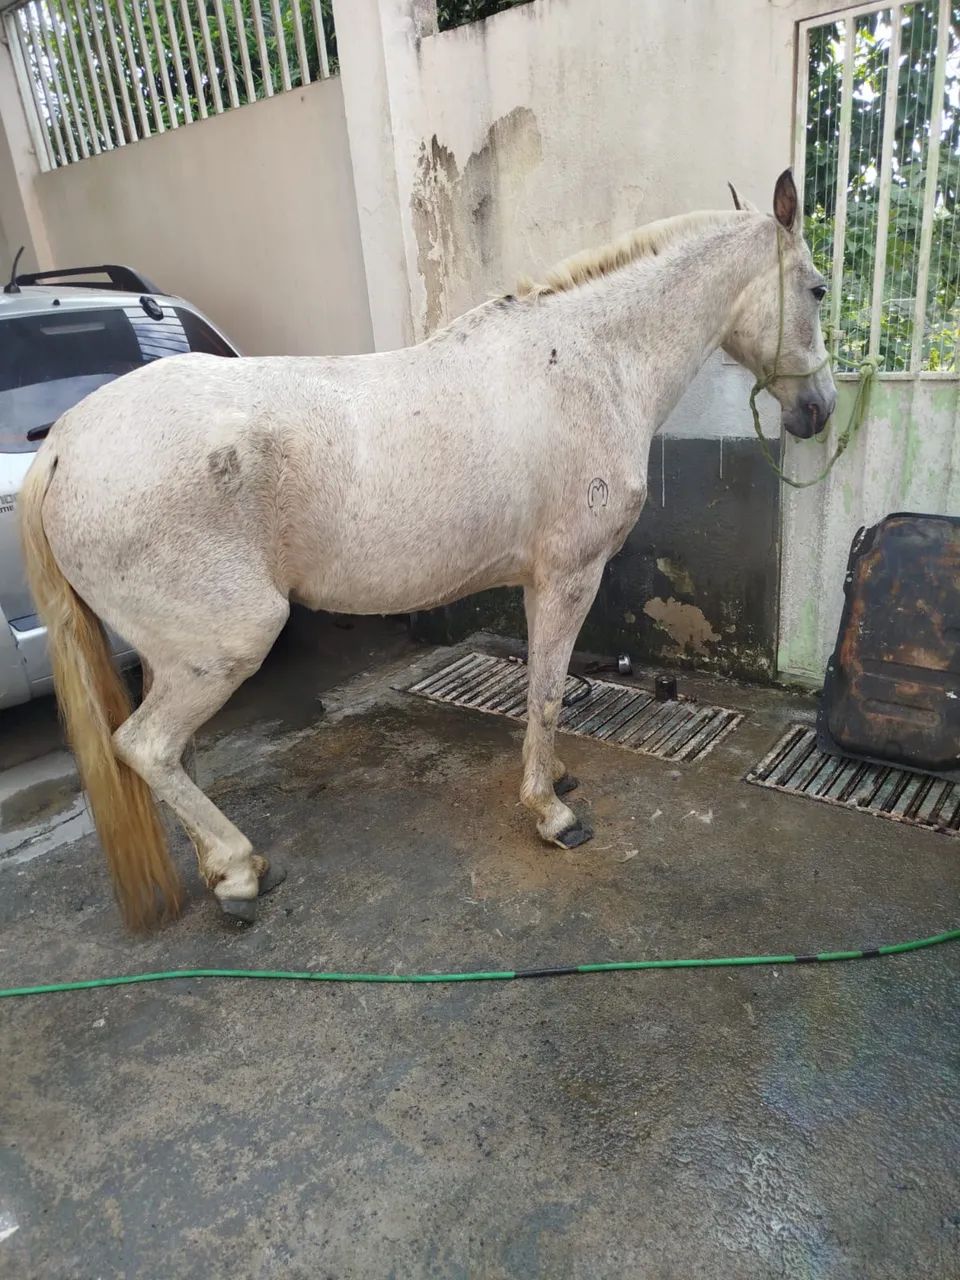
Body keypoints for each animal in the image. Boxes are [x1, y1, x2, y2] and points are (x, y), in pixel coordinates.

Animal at [20, 169, 836, 930]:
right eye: (819, 290)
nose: (819, 410)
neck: (590, 362)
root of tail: (62, 444)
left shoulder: (543, 580)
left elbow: (544, 689)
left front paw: (556, 777)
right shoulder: (568, 576)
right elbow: (548, 691)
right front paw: (551, 813)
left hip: (173, 653)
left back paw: (219, 870)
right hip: (226, 643)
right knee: (148, 747)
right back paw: (242, 871)